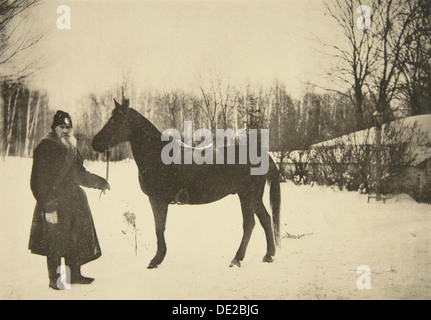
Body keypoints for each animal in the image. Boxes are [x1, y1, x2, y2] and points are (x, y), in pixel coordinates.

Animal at [93, 99, 282, 268]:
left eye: (117, 119)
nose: (95, 143)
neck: (157, 157)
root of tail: (263, 155)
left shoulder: (157, 200)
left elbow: (159, 228)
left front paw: (156, 260)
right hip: (254, 197)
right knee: (266, 219)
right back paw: (268, 255)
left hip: (247, 196)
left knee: (249, 224)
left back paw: (237, 259)